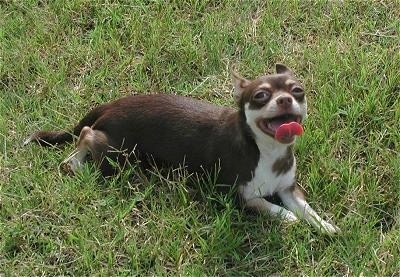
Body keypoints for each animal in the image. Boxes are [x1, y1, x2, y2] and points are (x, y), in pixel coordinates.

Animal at [24, 64, 338, 233]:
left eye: (298, 91)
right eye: (261, 96)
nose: (286, 99)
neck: (267, 151)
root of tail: (109, 105)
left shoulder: (288, 189)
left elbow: (306, 208)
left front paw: (323, 224)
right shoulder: (240, 198)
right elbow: (270, 207)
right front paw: (288, 218)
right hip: (119, 153)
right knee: (87, 134)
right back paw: (75, 162)